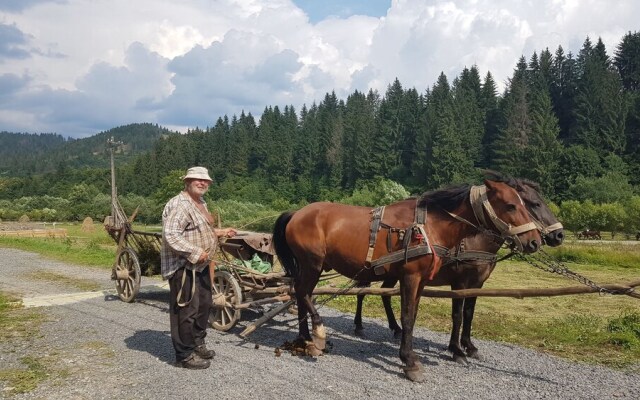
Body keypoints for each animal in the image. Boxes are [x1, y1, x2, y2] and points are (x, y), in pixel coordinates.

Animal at [272, 178, 544, 382]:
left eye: (526, 204)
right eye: (511, 205)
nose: (534, 241)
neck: (427, 226)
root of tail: (297, 213)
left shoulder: (422, 280)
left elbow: (413, 317)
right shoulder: (412, 277)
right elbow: (408, 316)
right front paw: (410, 361)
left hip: (311, 267)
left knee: (301, 295)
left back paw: (305, 337)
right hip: (312, 264)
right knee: (303, 293)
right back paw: (317, 333)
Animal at [352, 175, 564, 362]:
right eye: (534, 204)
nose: (559, 235)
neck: (475, 240)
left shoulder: (477, 284)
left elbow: (469, 313)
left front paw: (469, 346)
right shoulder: (460, 283)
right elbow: (458, 315)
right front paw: (456, 349)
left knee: (384, 293)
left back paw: (396, 328)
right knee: (362, 291)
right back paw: (359, 325)